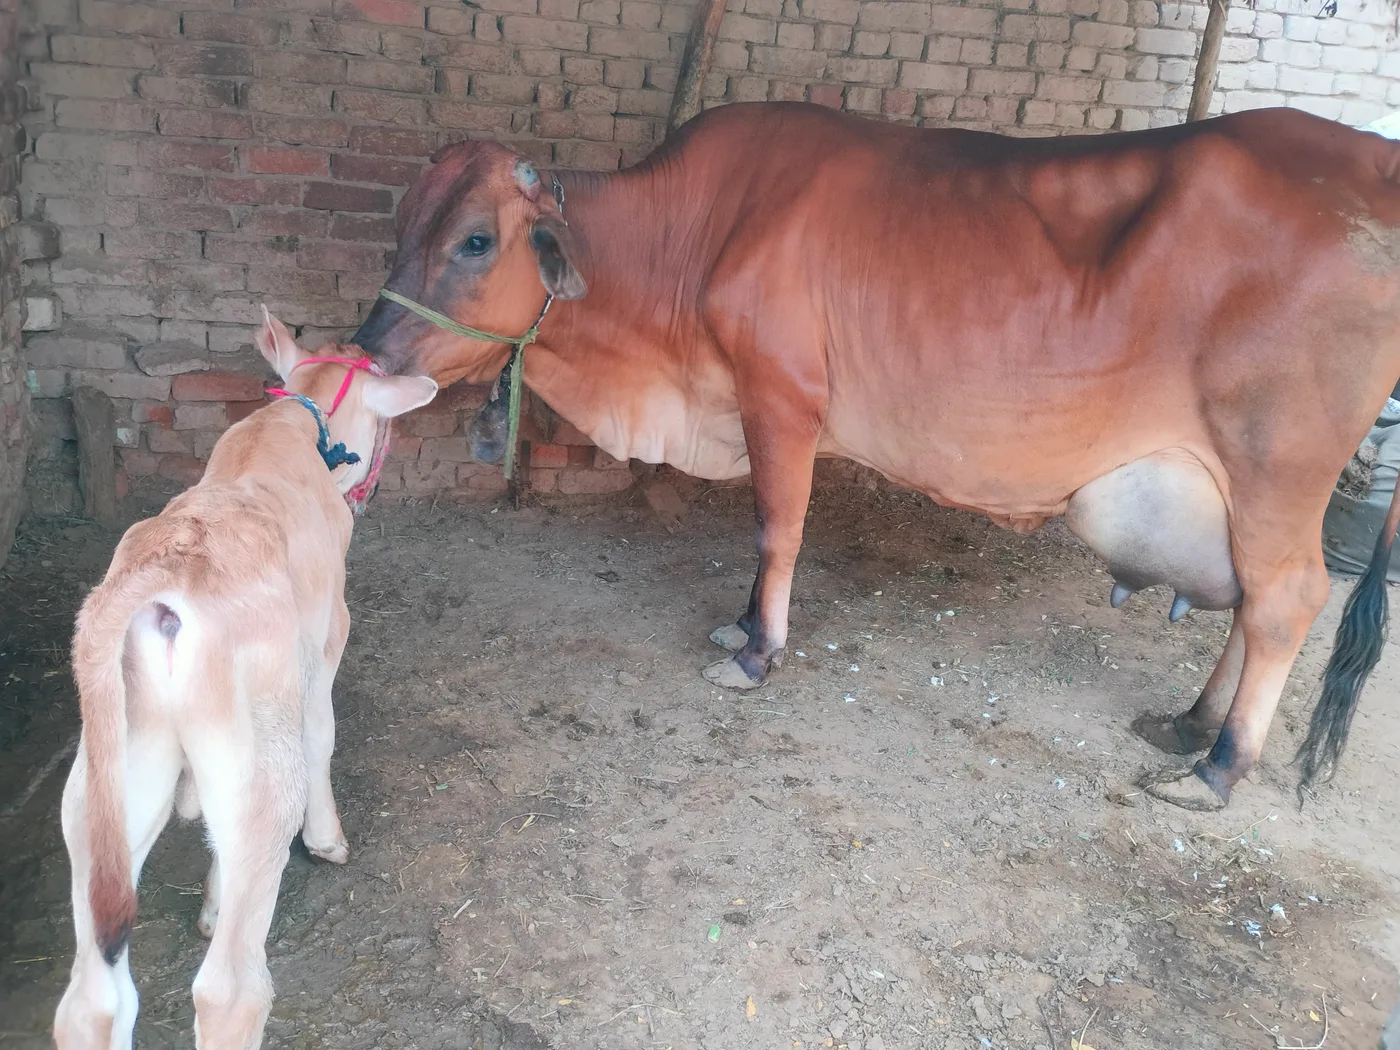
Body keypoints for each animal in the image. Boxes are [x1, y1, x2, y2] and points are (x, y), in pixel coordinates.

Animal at [54, 311, 437, 1050]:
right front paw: (327, 841)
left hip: (104, 784)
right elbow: (322, 737)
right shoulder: (323, 644)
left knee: (91, 999)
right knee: (230, 992)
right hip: (257, 767)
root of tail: (165, 575)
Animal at [352, 102, 1400, 812]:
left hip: (1278, 464)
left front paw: (759, 652)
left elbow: (776, 527)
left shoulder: (781, 397)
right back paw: (1192, 721)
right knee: (1253, 604)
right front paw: (741, 627)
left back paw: (1217, 768)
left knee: (1288, 599)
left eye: (476, 240)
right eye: (399, 225)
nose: (366, 351)